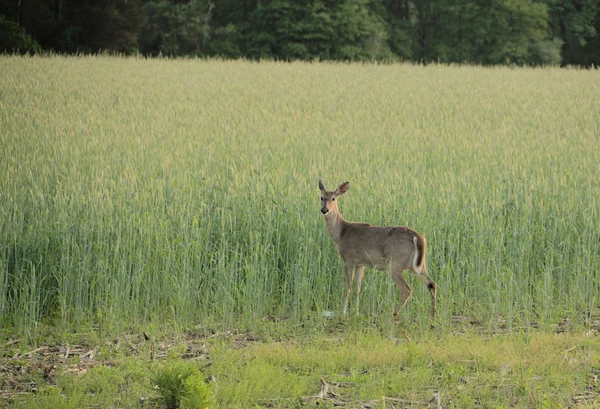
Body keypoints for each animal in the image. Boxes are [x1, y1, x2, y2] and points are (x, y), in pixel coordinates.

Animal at [318, 180, 436, 324]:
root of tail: (418, 238)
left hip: (395, 264)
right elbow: (357, 289)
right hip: (419, 265)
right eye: (322, 197)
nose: (324, 210)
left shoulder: (349, 260)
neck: (341, 233)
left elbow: (347, 288)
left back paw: (392, 314)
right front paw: (356, 313)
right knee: (431, 284)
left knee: (407, 290)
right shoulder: (360, 264)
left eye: (334, 198)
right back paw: (432, 318)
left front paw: (343, 315)